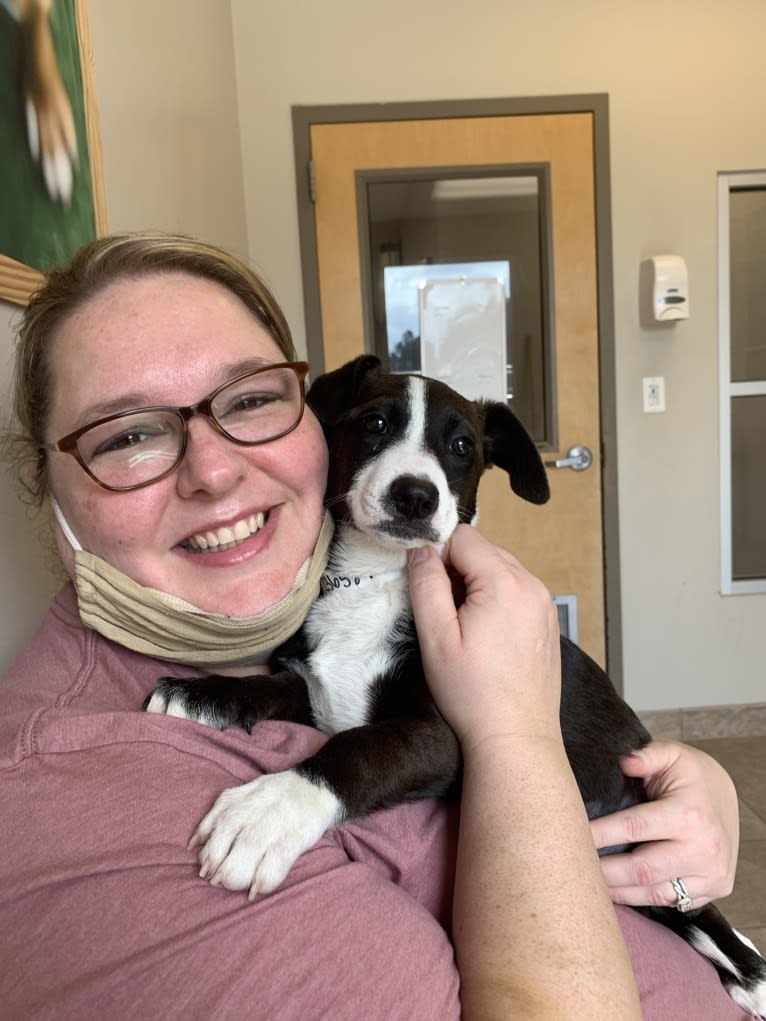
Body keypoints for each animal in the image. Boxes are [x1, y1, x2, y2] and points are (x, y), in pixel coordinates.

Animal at [145, 357, 766, 1012]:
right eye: (375, 423)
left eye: (463, 446)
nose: (416, 495)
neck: (373, 579)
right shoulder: (321, 691)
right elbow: (279, 690)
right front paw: (204, 694)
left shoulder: (441, 738)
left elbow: (357, 749)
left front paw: (269, 810)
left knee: (706, 916)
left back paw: (751, 976)